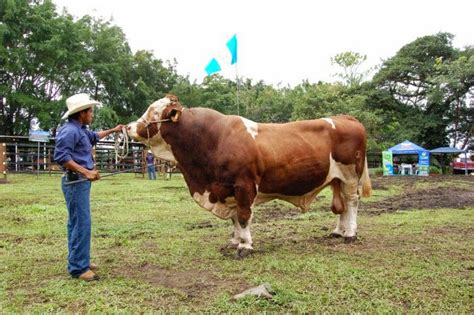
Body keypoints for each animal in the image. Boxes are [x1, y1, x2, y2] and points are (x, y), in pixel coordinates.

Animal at [128, 95, 372, 258]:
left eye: (153, 112)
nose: (128, 127)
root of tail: (345, 118)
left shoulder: (243, 185)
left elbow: (244, 216)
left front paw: (245, 246)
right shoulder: (226, 189)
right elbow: (235, 218)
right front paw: (235, 241)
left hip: (350, 176)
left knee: (352, 202)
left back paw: (350, 233)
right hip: (337, 179)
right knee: (341, 206)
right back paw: (338, 231)